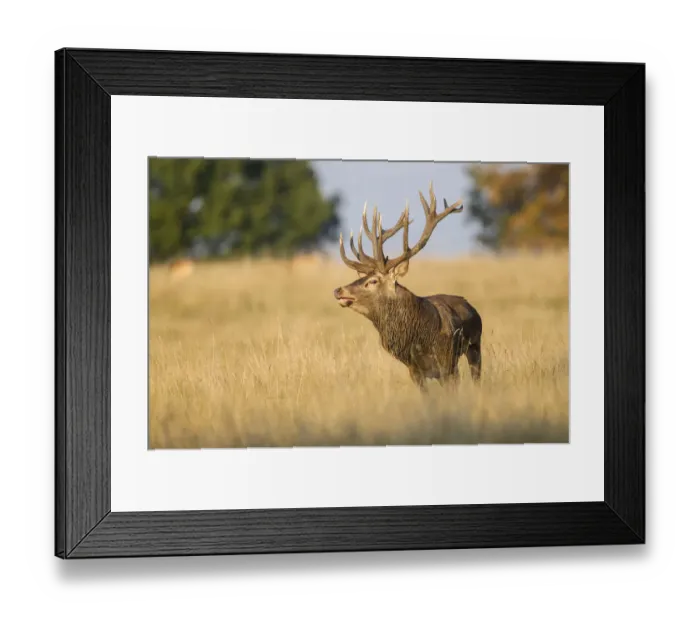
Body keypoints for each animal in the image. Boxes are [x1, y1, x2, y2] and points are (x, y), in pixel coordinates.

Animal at [333, 182, 482, 392]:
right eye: (364, 277)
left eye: (373, 281)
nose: (338, 290)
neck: (420, 338)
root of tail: (470, 305)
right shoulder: (415, 371)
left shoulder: (448, 365)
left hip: (475, 345)